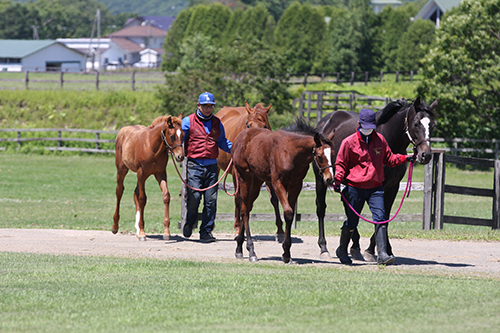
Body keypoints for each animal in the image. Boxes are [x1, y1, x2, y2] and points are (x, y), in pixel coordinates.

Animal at [216, 102, 288, 240]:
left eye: (265, 125)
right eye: (248, 125)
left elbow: (274, 199)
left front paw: (280, 230)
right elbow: (240, 199)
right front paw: (239, 229)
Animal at [231, 118, 334, 262]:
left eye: (333, 154)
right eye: (319, 156)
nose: (329, 179)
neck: (290, 151)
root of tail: (240, 137)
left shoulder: (296, 185)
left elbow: (290, 215)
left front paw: (286, 253)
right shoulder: (277, 184)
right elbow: (288, 212)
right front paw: (286, 252)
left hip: (256, 183)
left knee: (246, 207)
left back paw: (239, 248)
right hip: (245, 178)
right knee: (244, 211)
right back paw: (251, 251)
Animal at [312, 97, 438, 258]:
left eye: (432, 125)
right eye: (416, 123)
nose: (425, 155)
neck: (389, 141)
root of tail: (325, 122)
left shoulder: (393, 187)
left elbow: (385, 216)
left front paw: (383, 249)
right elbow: (379, 216)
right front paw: (373, 250)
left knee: (349, 207)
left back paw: (355, 246)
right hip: (321, 179)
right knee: (321, 208)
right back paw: (324, 248)